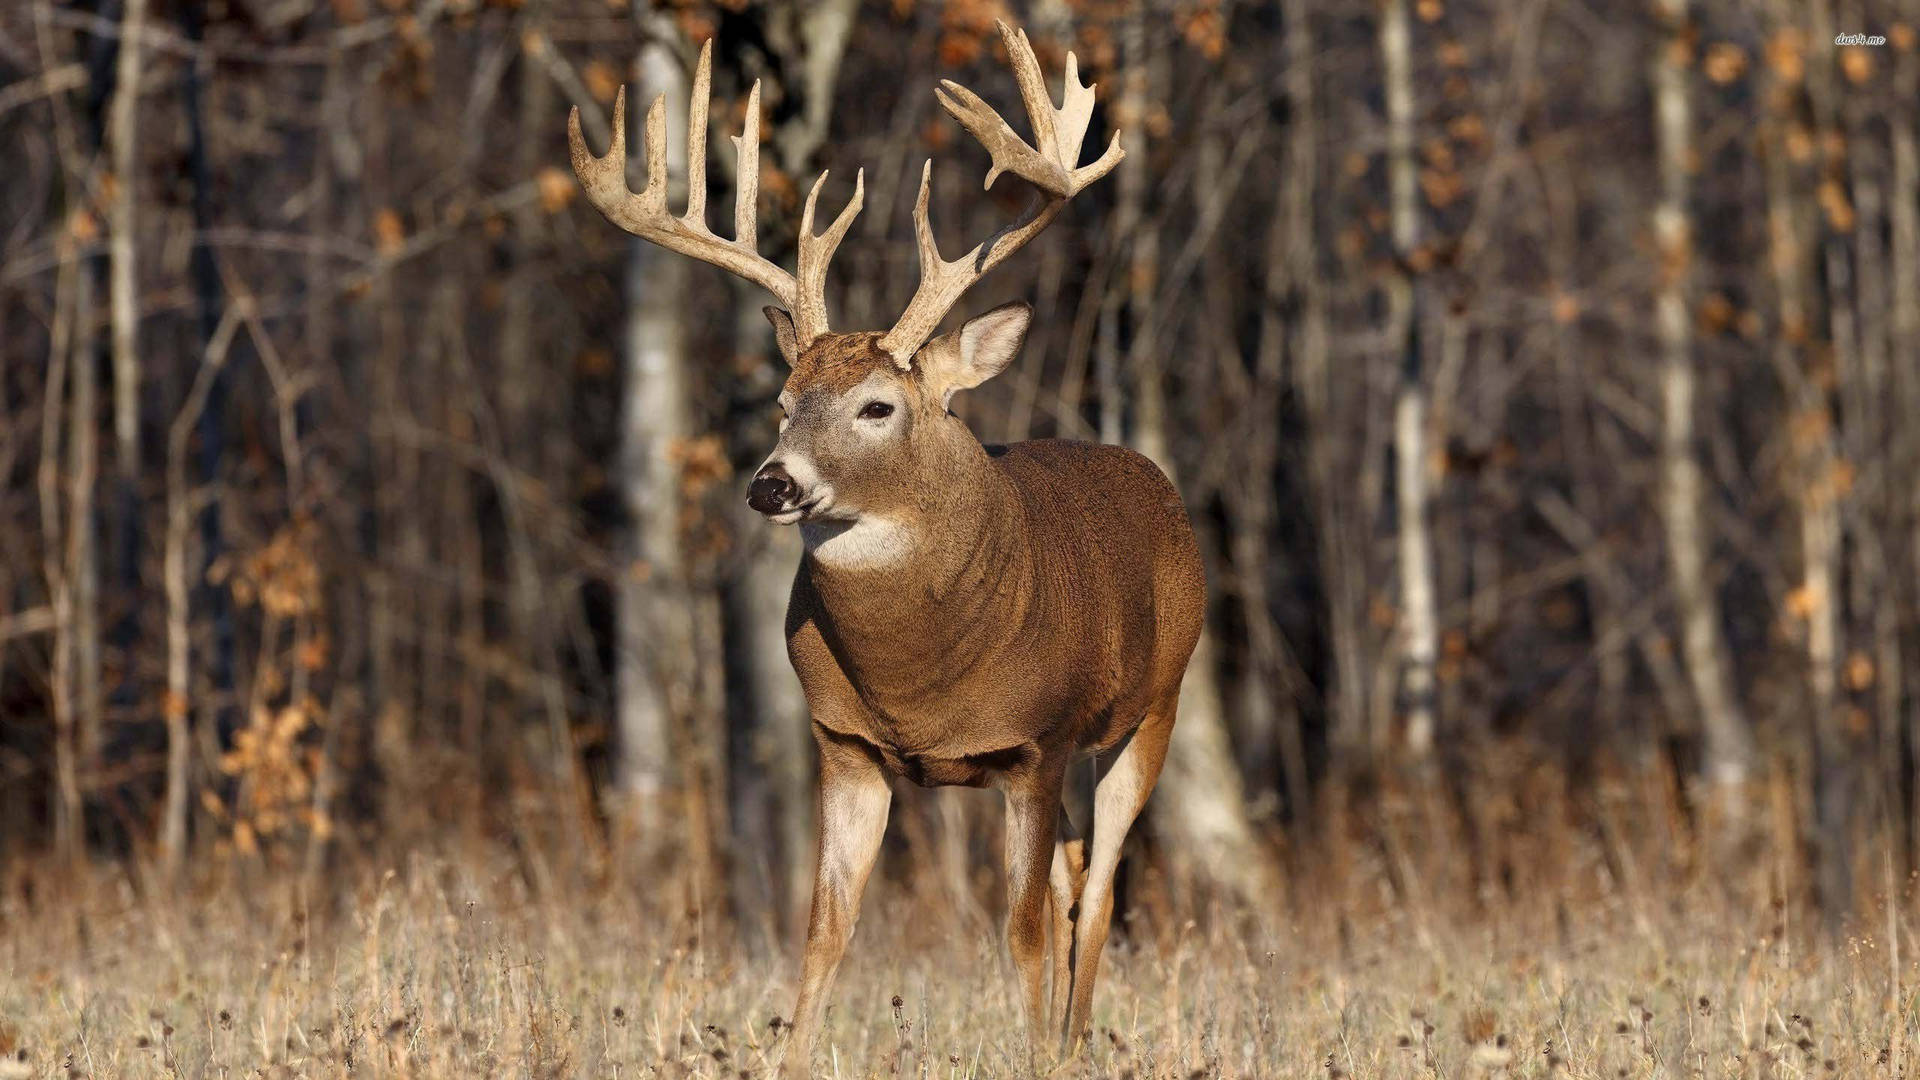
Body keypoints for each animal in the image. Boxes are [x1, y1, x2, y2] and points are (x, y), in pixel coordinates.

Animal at [567, 22, 1205, 1073]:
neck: (920, 681)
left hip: (1152, 709)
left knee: (1102, 888)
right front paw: (789, 1055)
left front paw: (1032, 1054)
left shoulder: (1036, 744)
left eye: (877, 407)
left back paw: (1070, 1043)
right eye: (784, 401)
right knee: (1077, 877)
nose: (771, 484)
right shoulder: (845, 744)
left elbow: (1021, 930)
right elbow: (826, 927)